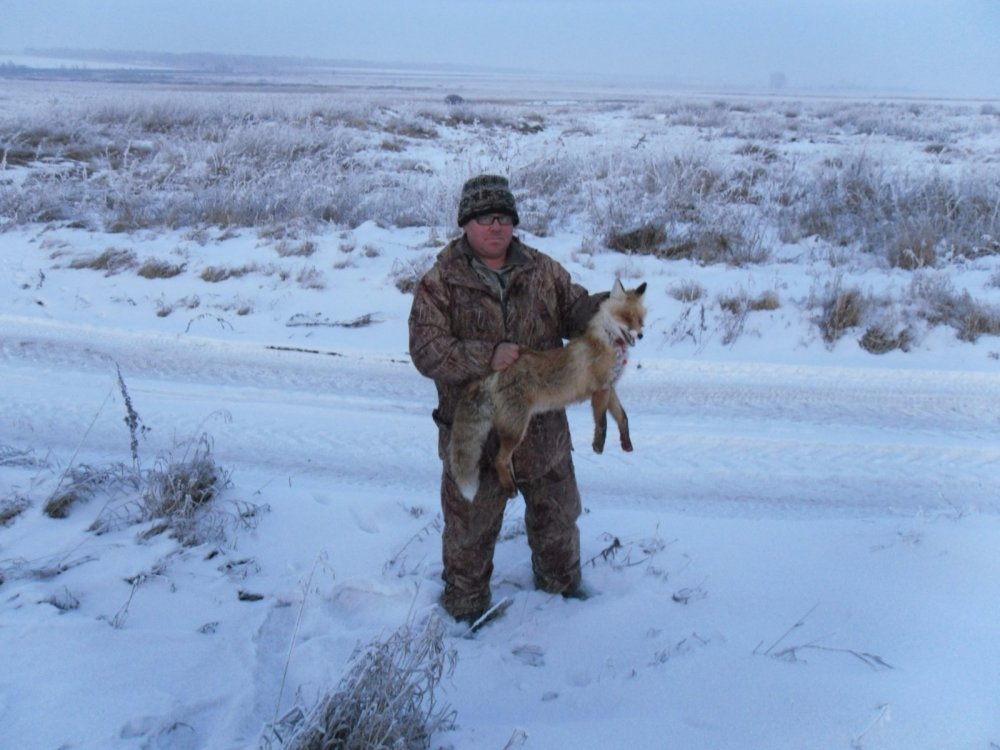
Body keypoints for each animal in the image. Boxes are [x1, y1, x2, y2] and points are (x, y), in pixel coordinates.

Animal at [448, 280, 648, 502]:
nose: (641, 335)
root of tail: (497, 370)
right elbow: (602, 421)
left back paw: (513, 484)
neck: (606, 342)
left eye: (640, 319)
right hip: (517, 429)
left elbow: (622, 417)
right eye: (626, 317)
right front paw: (598, 445)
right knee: (499, 459)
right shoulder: (600, 389)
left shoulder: (609, 388)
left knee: (505, 460)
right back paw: (509, 486)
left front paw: (626, 443)